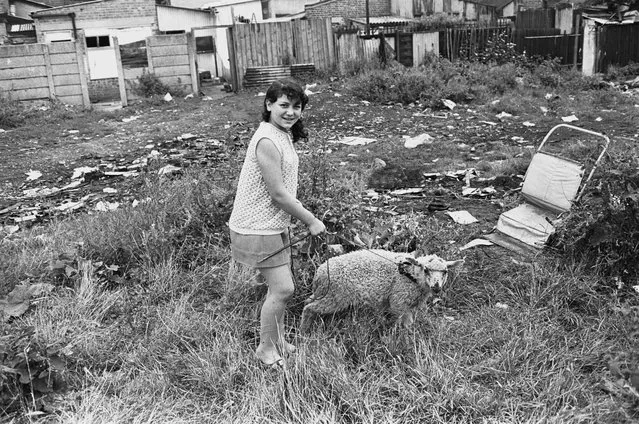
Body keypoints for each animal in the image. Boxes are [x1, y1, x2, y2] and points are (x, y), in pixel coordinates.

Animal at [302, 248, 464, 332]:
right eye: (426, 270)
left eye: (445, 272)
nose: (437, 286)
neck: (412, 277)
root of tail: (319, 274)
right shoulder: (399, 301)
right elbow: (403, 322)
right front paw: (402, 337)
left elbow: (409, 322)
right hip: (336, 295)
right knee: (309, 308)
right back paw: (304, 331)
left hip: (324, 293)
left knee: (308, 301)